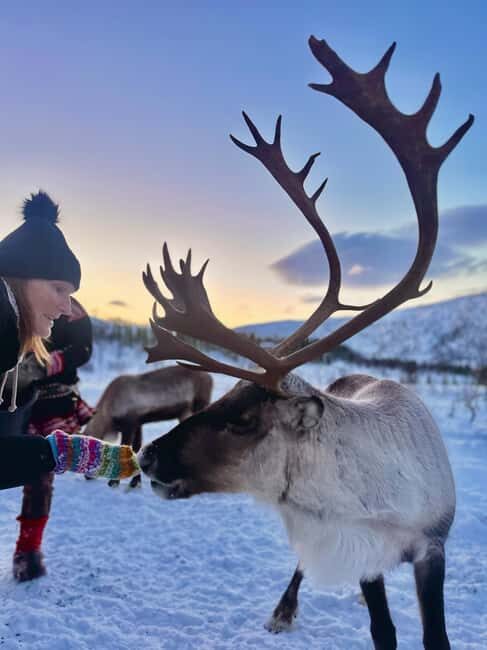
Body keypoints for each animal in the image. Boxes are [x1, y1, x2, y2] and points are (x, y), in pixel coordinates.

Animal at [83, 365, 212, 487]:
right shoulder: (138, 423)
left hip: (198, 406)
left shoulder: (129, 424)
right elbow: (136, 448)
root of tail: (210, 378)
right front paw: (135, 482)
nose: (87, 477)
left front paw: (113, 482)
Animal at [137, 36, 473, 650]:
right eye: (224, 398)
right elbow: (383, 631)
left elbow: (434, 635)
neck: (371, 503)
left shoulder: (432, 547)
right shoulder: (359, 557)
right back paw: (283, 608)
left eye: (244, 419)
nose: (148, 455)